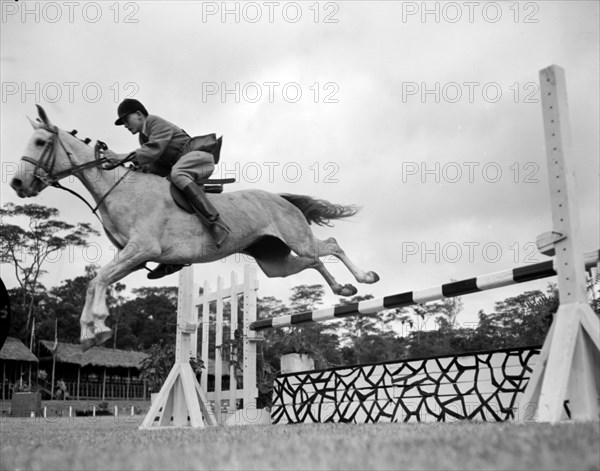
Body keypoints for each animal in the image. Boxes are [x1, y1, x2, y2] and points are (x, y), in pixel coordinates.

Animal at [10, 107, 380, 350]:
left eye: (41, 142)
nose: (17, 183)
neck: (119, 188)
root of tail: (281, 198)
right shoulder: (133, 258)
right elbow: (94, 282)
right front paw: (90, 332)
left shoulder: (142, 250)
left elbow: (97, 280)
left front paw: (96, 326)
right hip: (275, 263)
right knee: (314, 260)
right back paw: (343, 289)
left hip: (297, 240)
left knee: (330, 245)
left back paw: (364, 278)